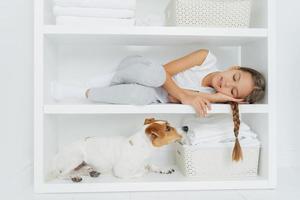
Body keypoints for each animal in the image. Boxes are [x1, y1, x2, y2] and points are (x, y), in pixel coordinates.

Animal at [48, 118, 182, 182]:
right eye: (168, 129)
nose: (184, 128)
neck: (143, 147)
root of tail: (55, 158)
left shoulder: (147, 160)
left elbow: (151, 165)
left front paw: (163, 169)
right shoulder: (121, 172)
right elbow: (142, 171)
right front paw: (144, 169)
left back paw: (91, 172)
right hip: (76, 157)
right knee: (61, 174)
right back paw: (74, 177)